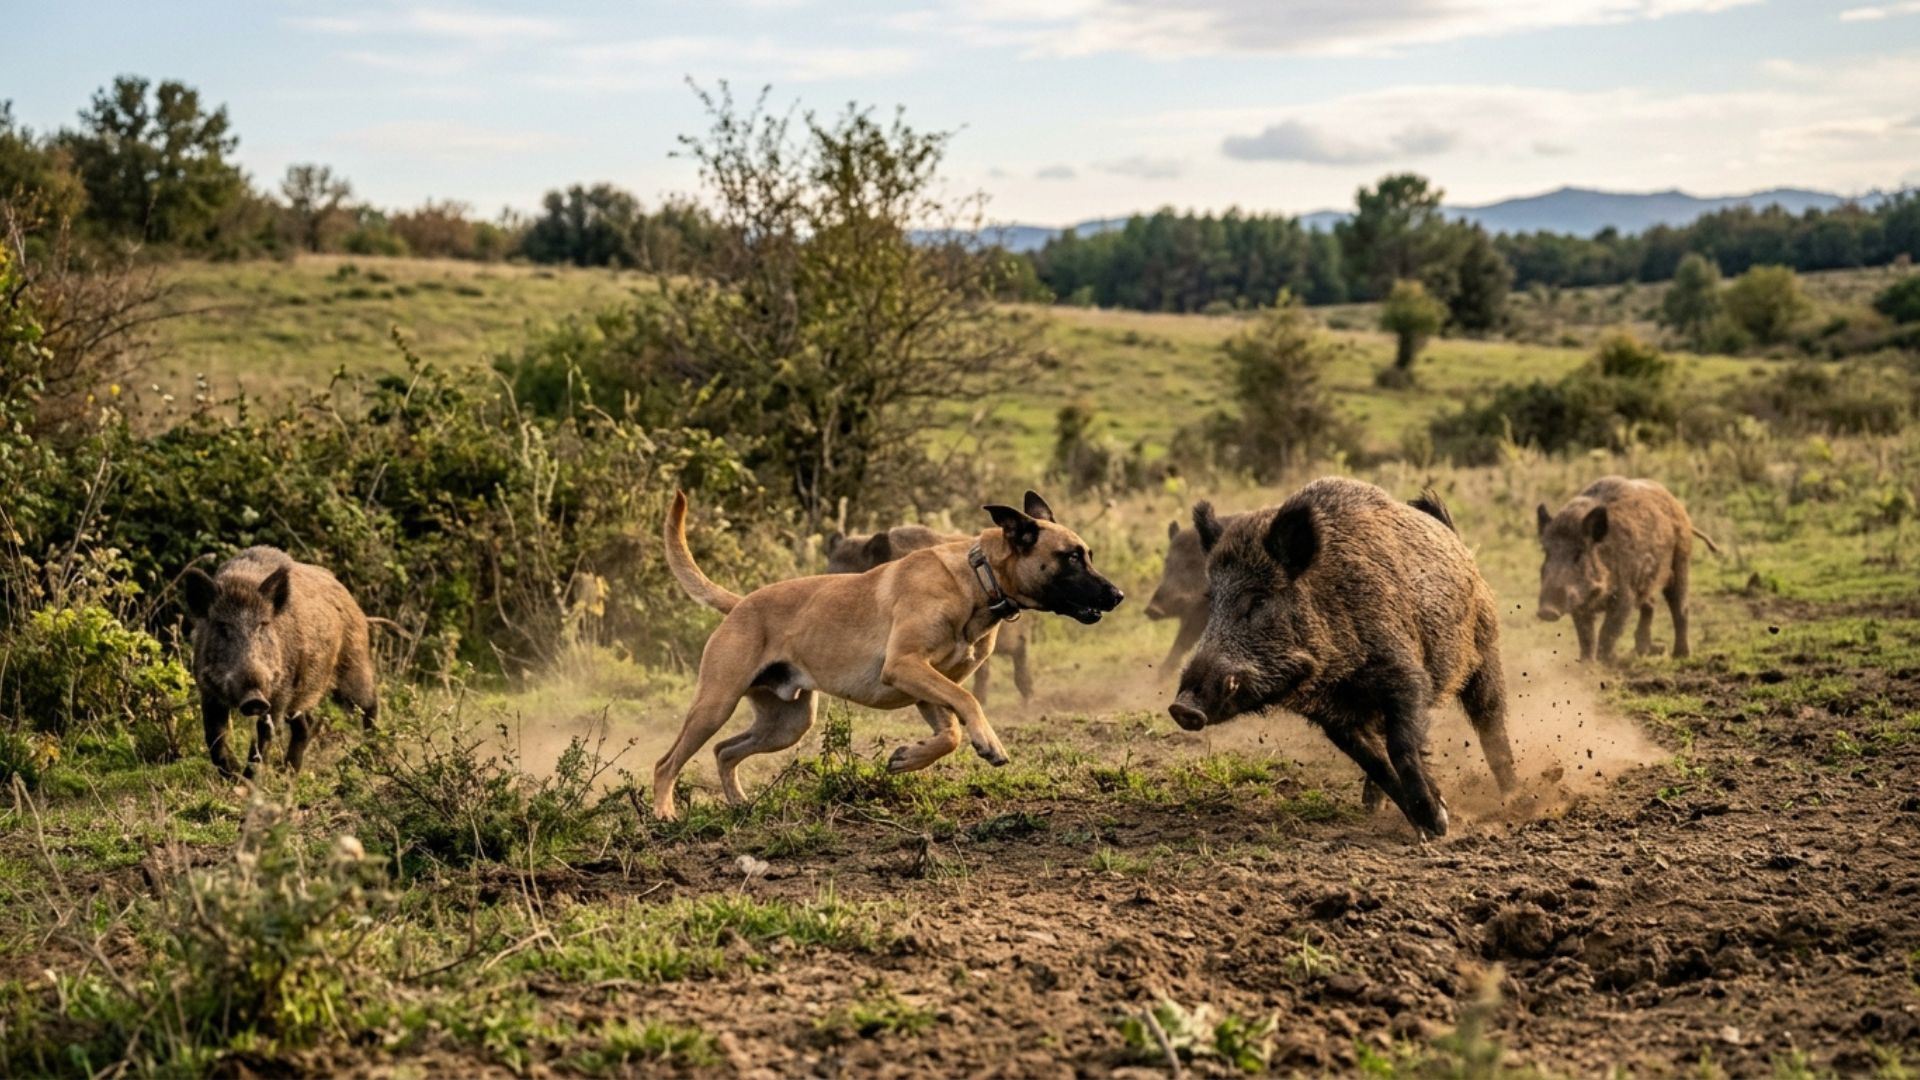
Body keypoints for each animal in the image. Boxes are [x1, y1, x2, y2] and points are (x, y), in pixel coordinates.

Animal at [182, 546, 385, 778]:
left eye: (263, 624)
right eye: (222, 626)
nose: (254, 699)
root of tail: (351, 600)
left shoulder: (280, 691)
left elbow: (265, 734)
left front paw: (247, 780)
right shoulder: (208, 691)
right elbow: (213, 737)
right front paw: (233, 774)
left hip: (352, 667)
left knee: (370, 704)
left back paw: (374, 757)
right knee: (306, 725)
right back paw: (288, 772)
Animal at [1168, 478, 1517, 837]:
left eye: (1259, 600)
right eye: (1212, 601)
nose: (1182, 708)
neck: (1338, 674)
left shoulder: (1405, 676)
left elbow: (1402, 747)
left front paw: (1437, 825)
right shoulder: (1332, 717)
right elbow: (1376, 763)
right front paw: (1422, 826)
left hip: (1485, 651)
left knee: (1491, 725)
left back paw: (1516, 800)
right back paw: (1371, 806)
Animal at [1535, 476, 1718, 663]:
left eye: (1579, 553)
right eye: (1547, 552)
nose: (1547, 611)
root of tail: (1678, 507)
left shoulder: (1625, 595)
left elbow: (1608, 630)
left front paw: (1608, 661)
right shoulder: (1580, 603)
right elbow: (1586, 636)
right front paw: (1586, 664)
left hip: (1681, 561)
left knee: (1681, 608)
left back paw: (1681, 655)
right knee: (1650, 605)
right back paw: (1645, 651)